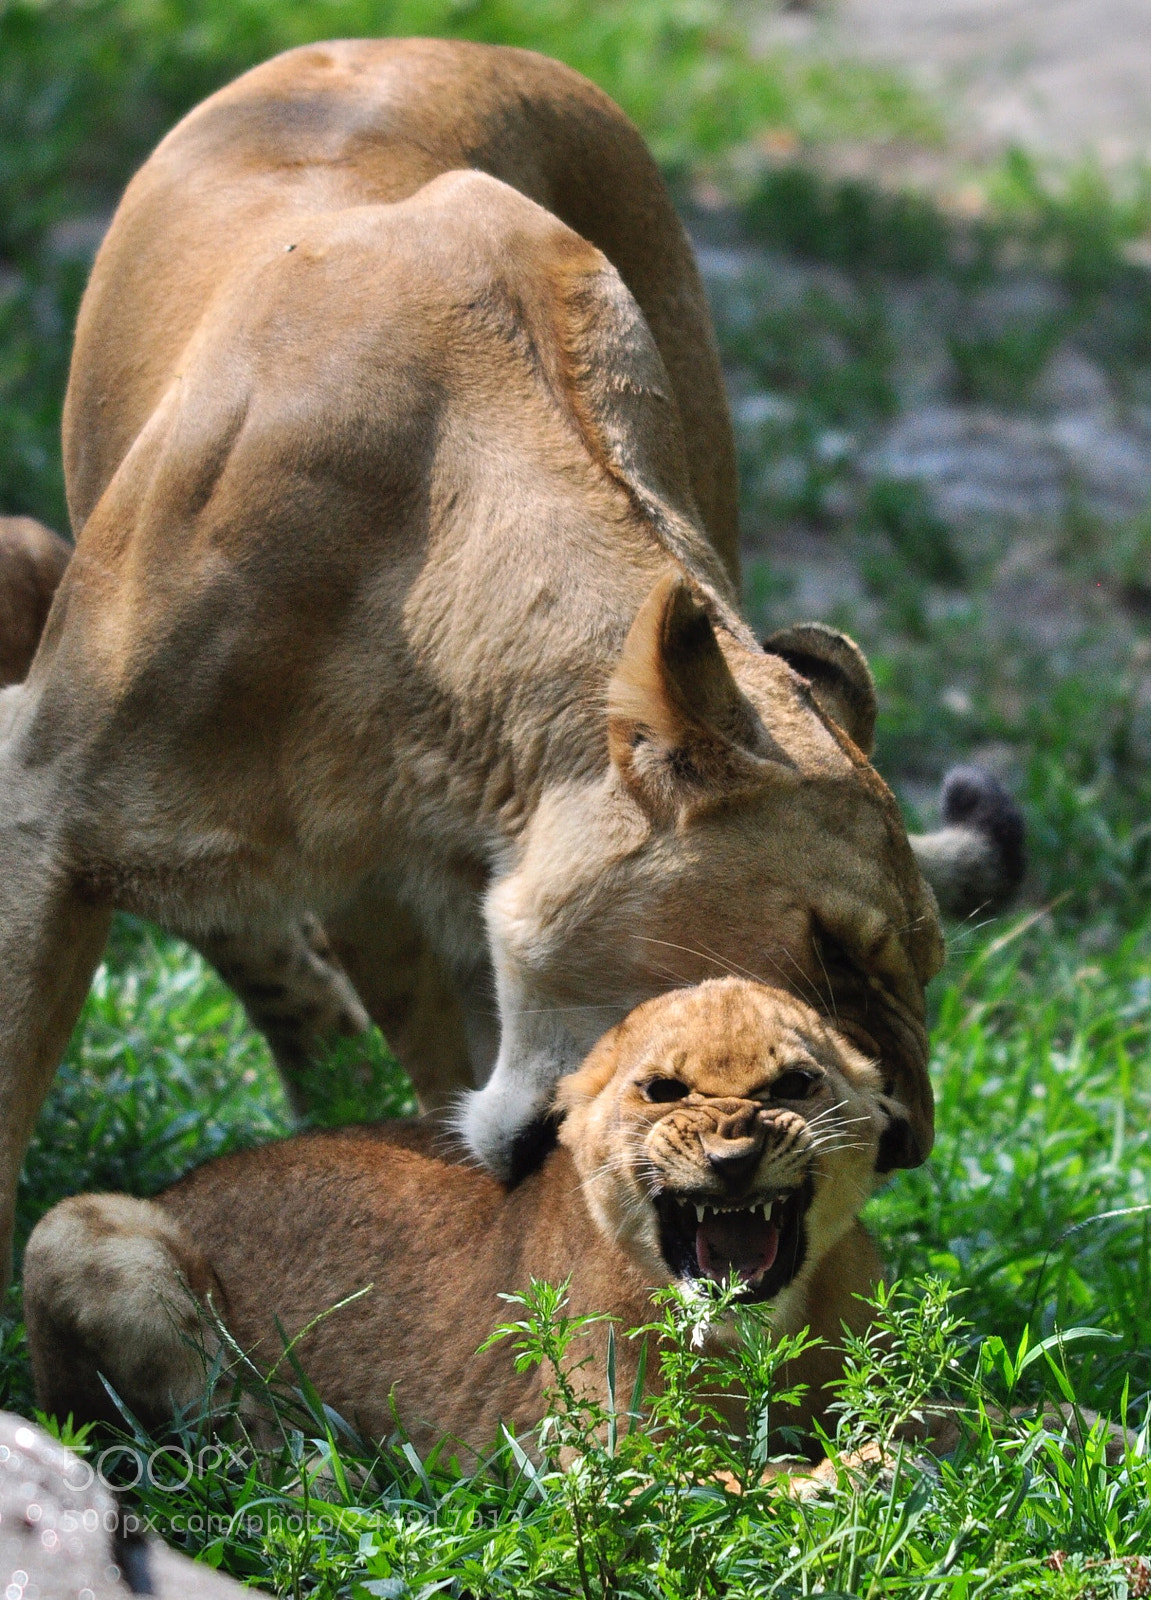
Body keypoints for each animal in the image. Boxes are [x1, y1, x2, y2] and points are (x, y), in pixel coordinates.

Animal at [23, 978, 889, 1454]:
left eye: (795, 1084)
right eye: (663, 1091)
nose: (733, 1155)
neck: (765, 1330)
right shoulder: (624, 1454)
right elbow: (762, 1488)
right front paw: (851, 1472)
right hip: (72, 1225)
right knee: (225, 1424)